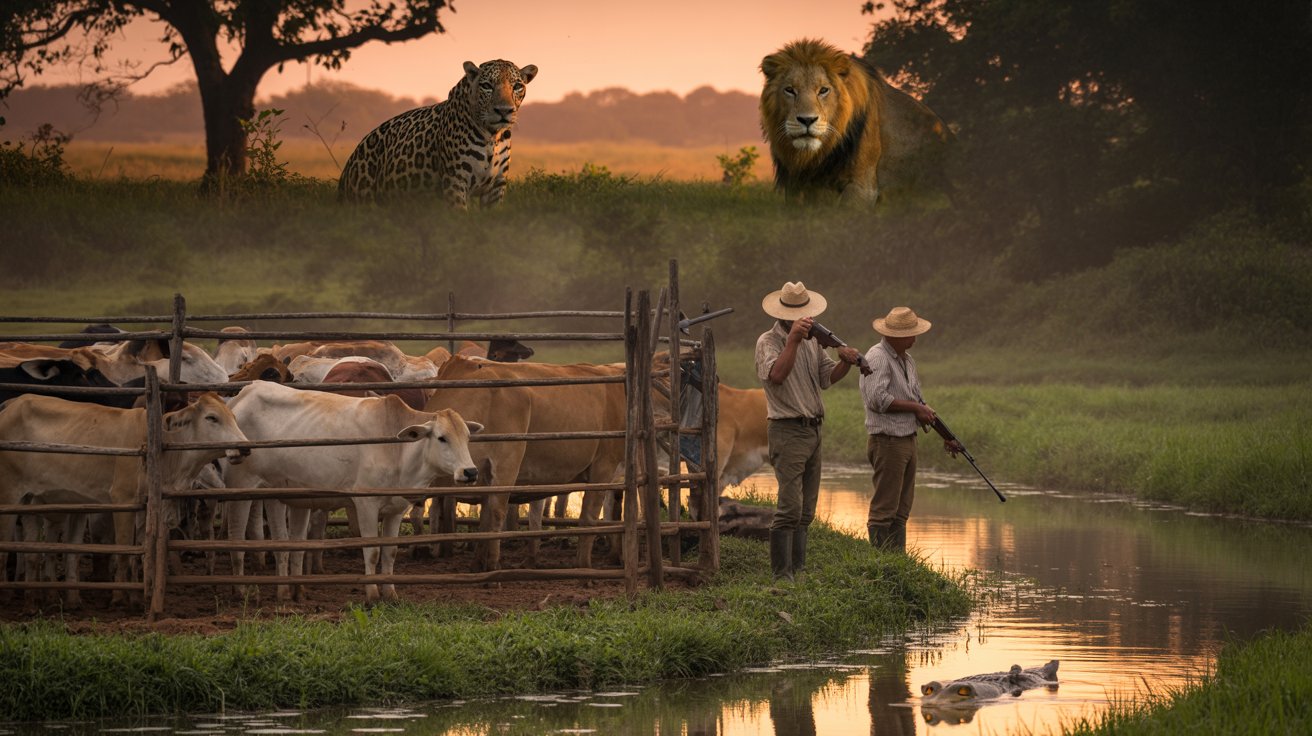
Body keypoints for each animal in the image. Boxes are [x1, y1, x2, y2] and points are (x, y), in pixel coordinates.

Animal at [338, 59, 538, 208]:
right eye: (487, 86)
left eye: (517, 86)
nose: (504, 110)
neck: (493, 137)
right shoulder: (455, 181)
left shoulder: (497, 186)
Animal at [759, 38, 953, 204]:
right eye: (790, 90)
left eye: (823, 90)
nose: (807, 120)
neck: (818, 156)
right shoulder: (797, 187)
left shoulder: (862, 187)